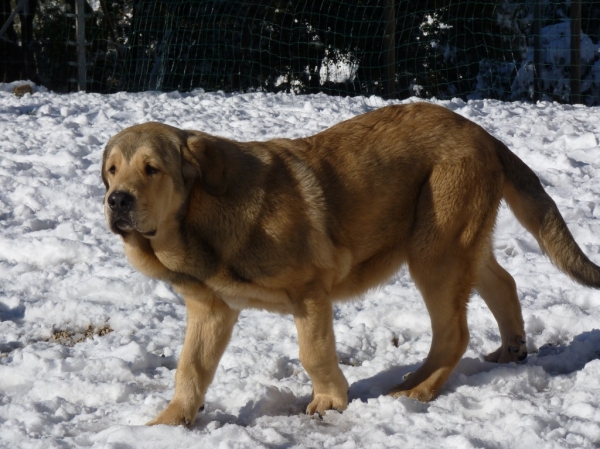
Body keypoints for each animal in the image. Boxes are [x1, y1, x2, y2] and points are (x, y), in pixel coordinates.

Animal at [103, 100, 600, 424]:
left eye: (152, 169)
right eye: (111, 170)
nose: (117, 201)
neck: (199, 219)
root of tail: (484, 135)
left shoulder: (309, 293)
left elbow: (314, 353)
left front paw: (329, 402)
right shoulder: (211, 309)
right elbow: (191, 368)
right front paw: (169, 423)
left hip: (435, 250)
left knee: (455, 332)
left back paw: (417, 389)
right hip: (461, 247)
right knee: (502, 283)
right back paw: (509, 350)